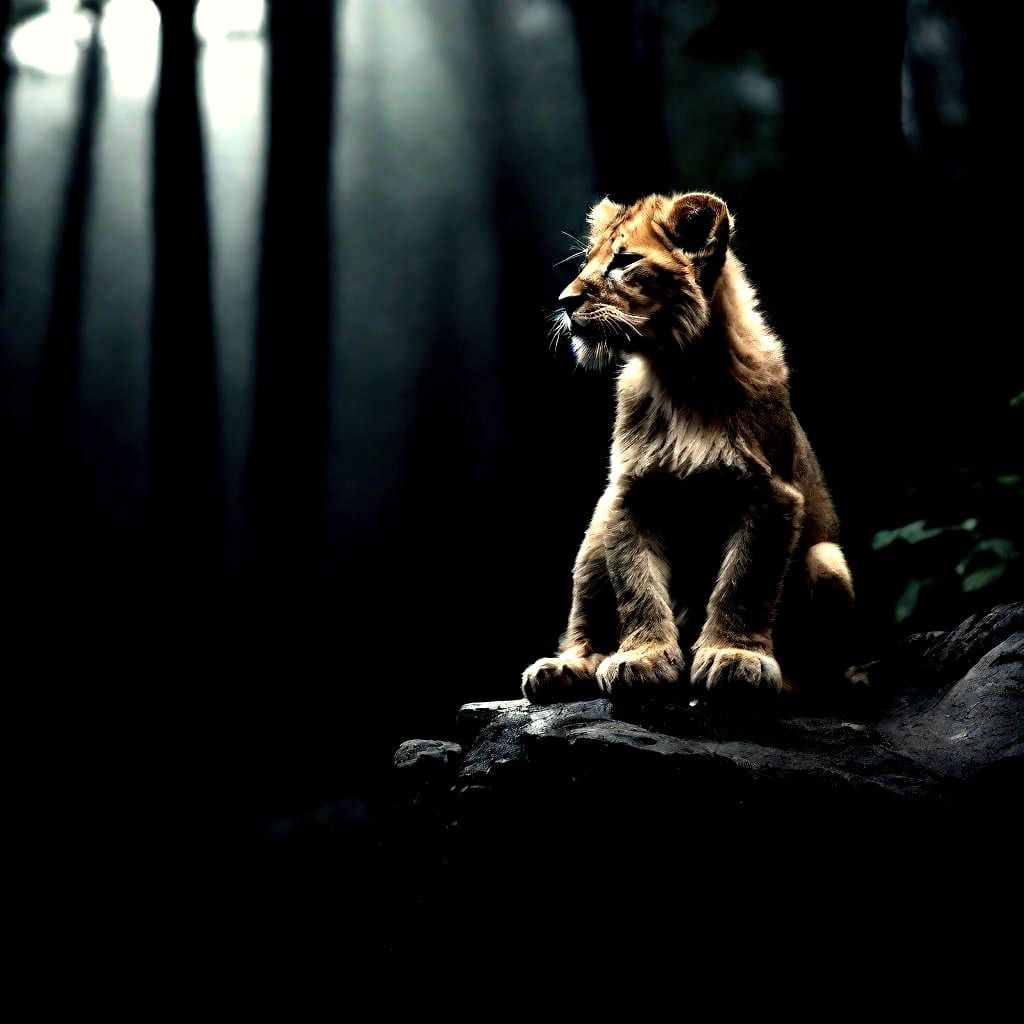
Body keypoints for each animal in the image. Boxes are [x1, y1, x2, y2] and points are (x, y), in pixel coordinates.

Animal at [522, 191, 854, 702]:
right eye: (587, 261)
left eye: (625, 261)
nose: (565, 302)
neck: (680, 372)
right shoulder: (628, 496)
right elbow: (637, 586)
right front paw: (642, 659)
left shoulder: (772, 495)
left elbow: (744, 584)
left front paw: (735, 658)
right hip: (594, 535)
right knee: (585, 620)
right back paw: (564, 668)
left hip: (828, 561)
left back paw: (794, 682)